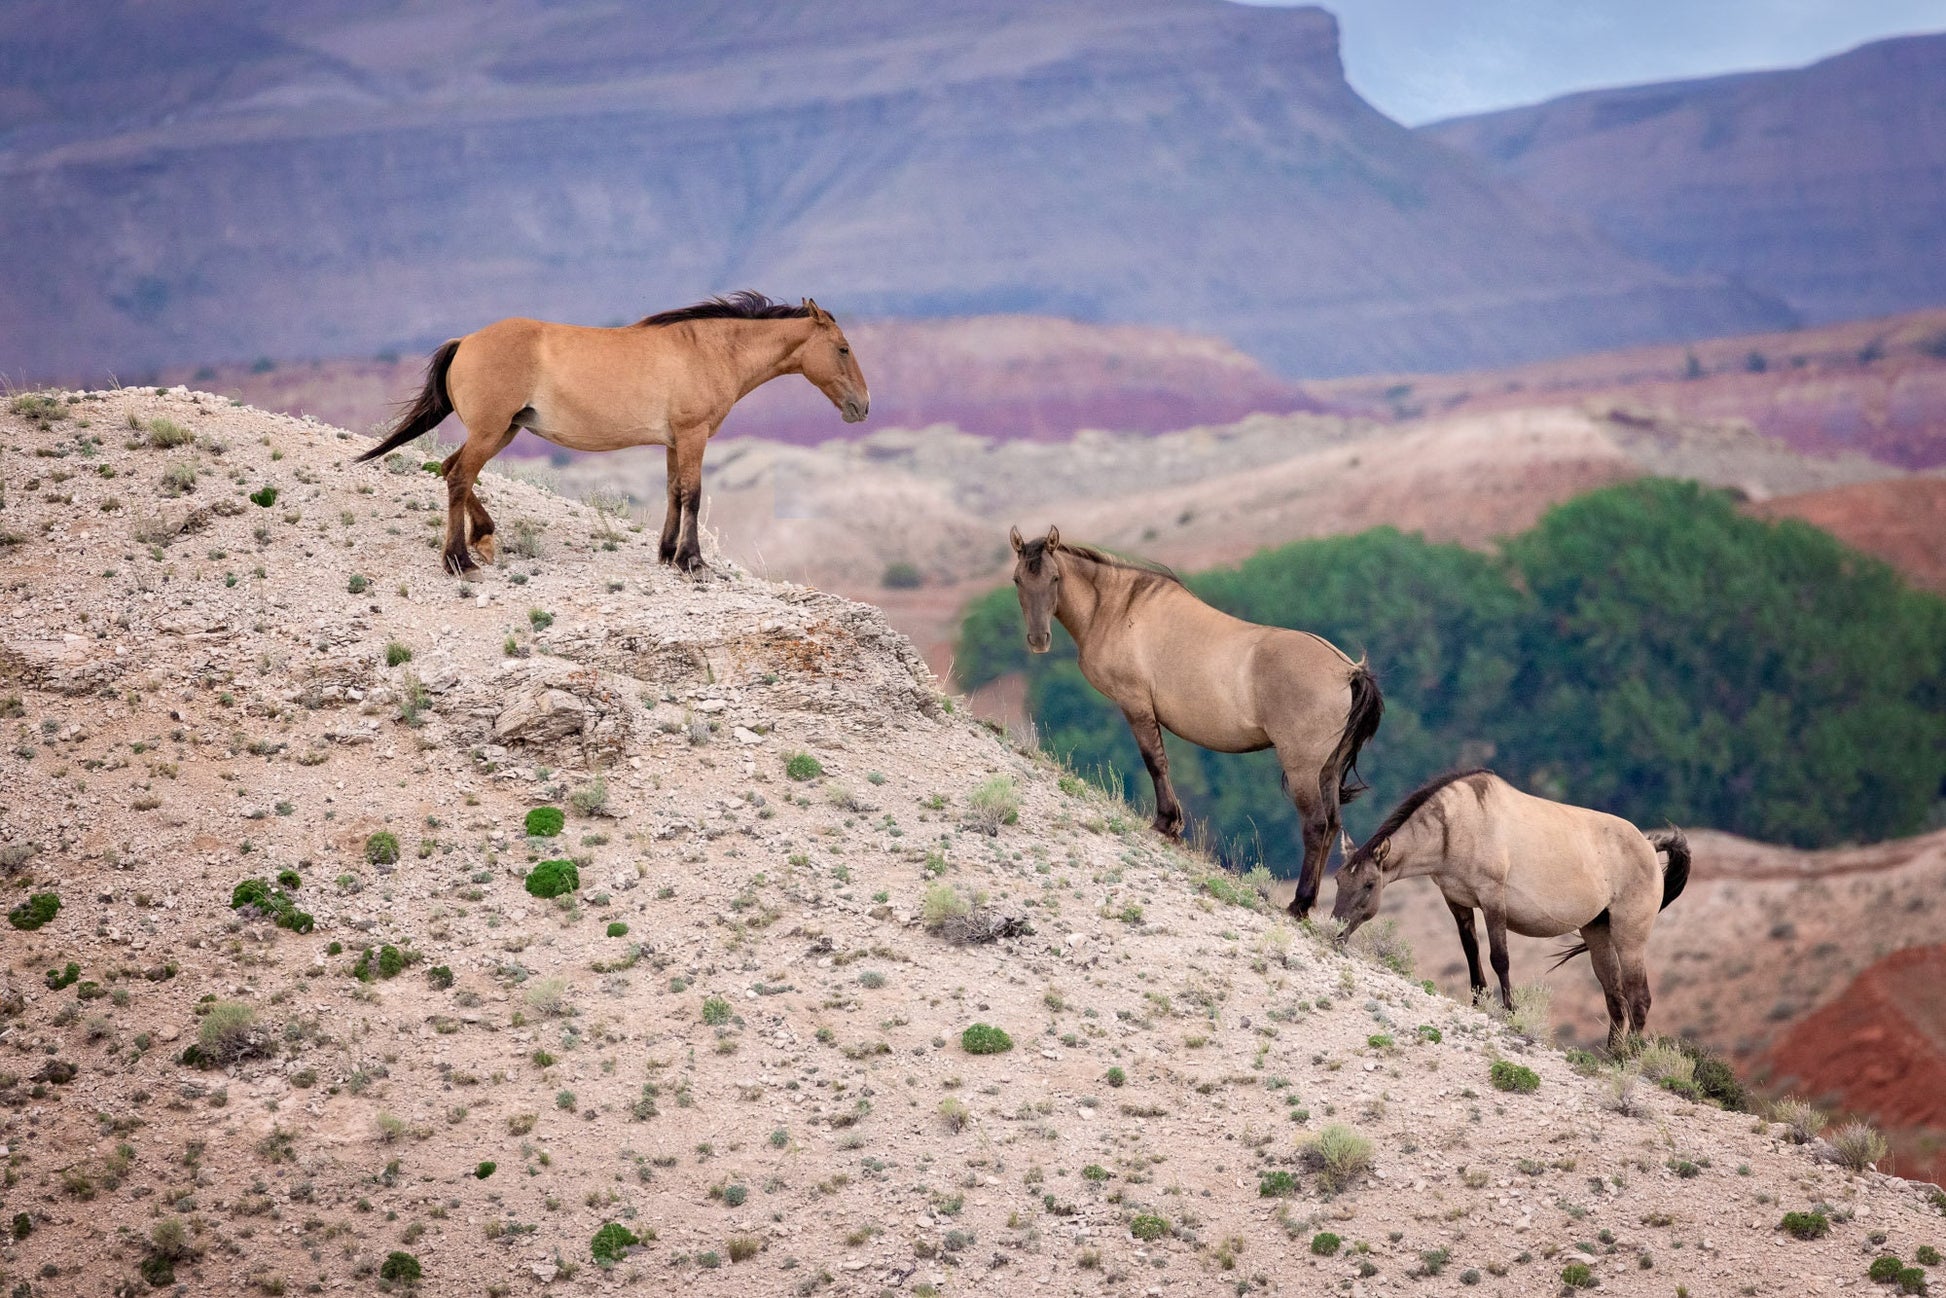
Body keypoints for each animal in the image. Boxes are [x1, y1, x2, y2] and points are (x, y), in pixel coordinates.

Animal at [356, 293, 867, 579]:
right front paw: (693, 563)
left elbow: (674, 491)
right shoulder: (694, 434)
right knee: (459, 476)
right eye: (843, 349)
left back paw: (483, 539)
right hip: (491, 432)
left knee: (450, 470)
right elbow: (694, 493)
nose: (862, 407)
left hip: (504, 431)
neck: (708, 350)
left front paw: (668, 555)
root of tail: (466, 341)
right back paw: (459, 561)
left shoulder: (674, 441)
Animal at [1004, 521, 1385, 918]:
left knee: (1315, 825)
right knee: (1332, 826)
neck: (1117, 607)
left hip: (1302, 769)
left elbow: (1155, 762)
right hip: (1327, 769)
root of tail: (1348, 671)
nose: (1038, 639)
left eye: (1055, 578)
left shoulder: (1135, 704)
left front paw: (1166, 823)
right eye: (1018, 579)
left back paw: (1299, 903)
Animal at [1331, 770, 1696, 1058]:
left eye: (1368, 884)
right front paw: (1479, 1003)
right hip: (1597, 931)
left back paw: (1631, 1057)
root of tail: (1649, 845)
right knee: (1615, 997)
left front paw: (1510, 1011)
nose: (1335, 929)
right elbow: (1472, 955)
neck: (1459, 824)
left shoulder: (1493, 900)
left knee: (1639, 998)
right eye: (1338, 879)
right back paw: (1610, 1057)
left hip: (1629, 935)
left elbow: (1499, 958)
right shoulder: (1457, 901)